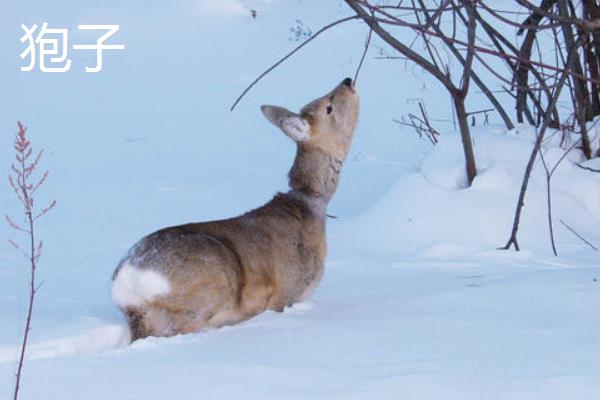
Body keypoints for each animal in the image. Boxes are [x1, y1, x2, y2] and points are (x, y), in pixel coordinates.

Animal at [110, 78, 358, 340]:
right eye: (328, 107)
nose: (347, 81)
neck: (309, 204)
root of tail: (127, 282)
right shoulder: (286, 292)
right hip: (201, 296)